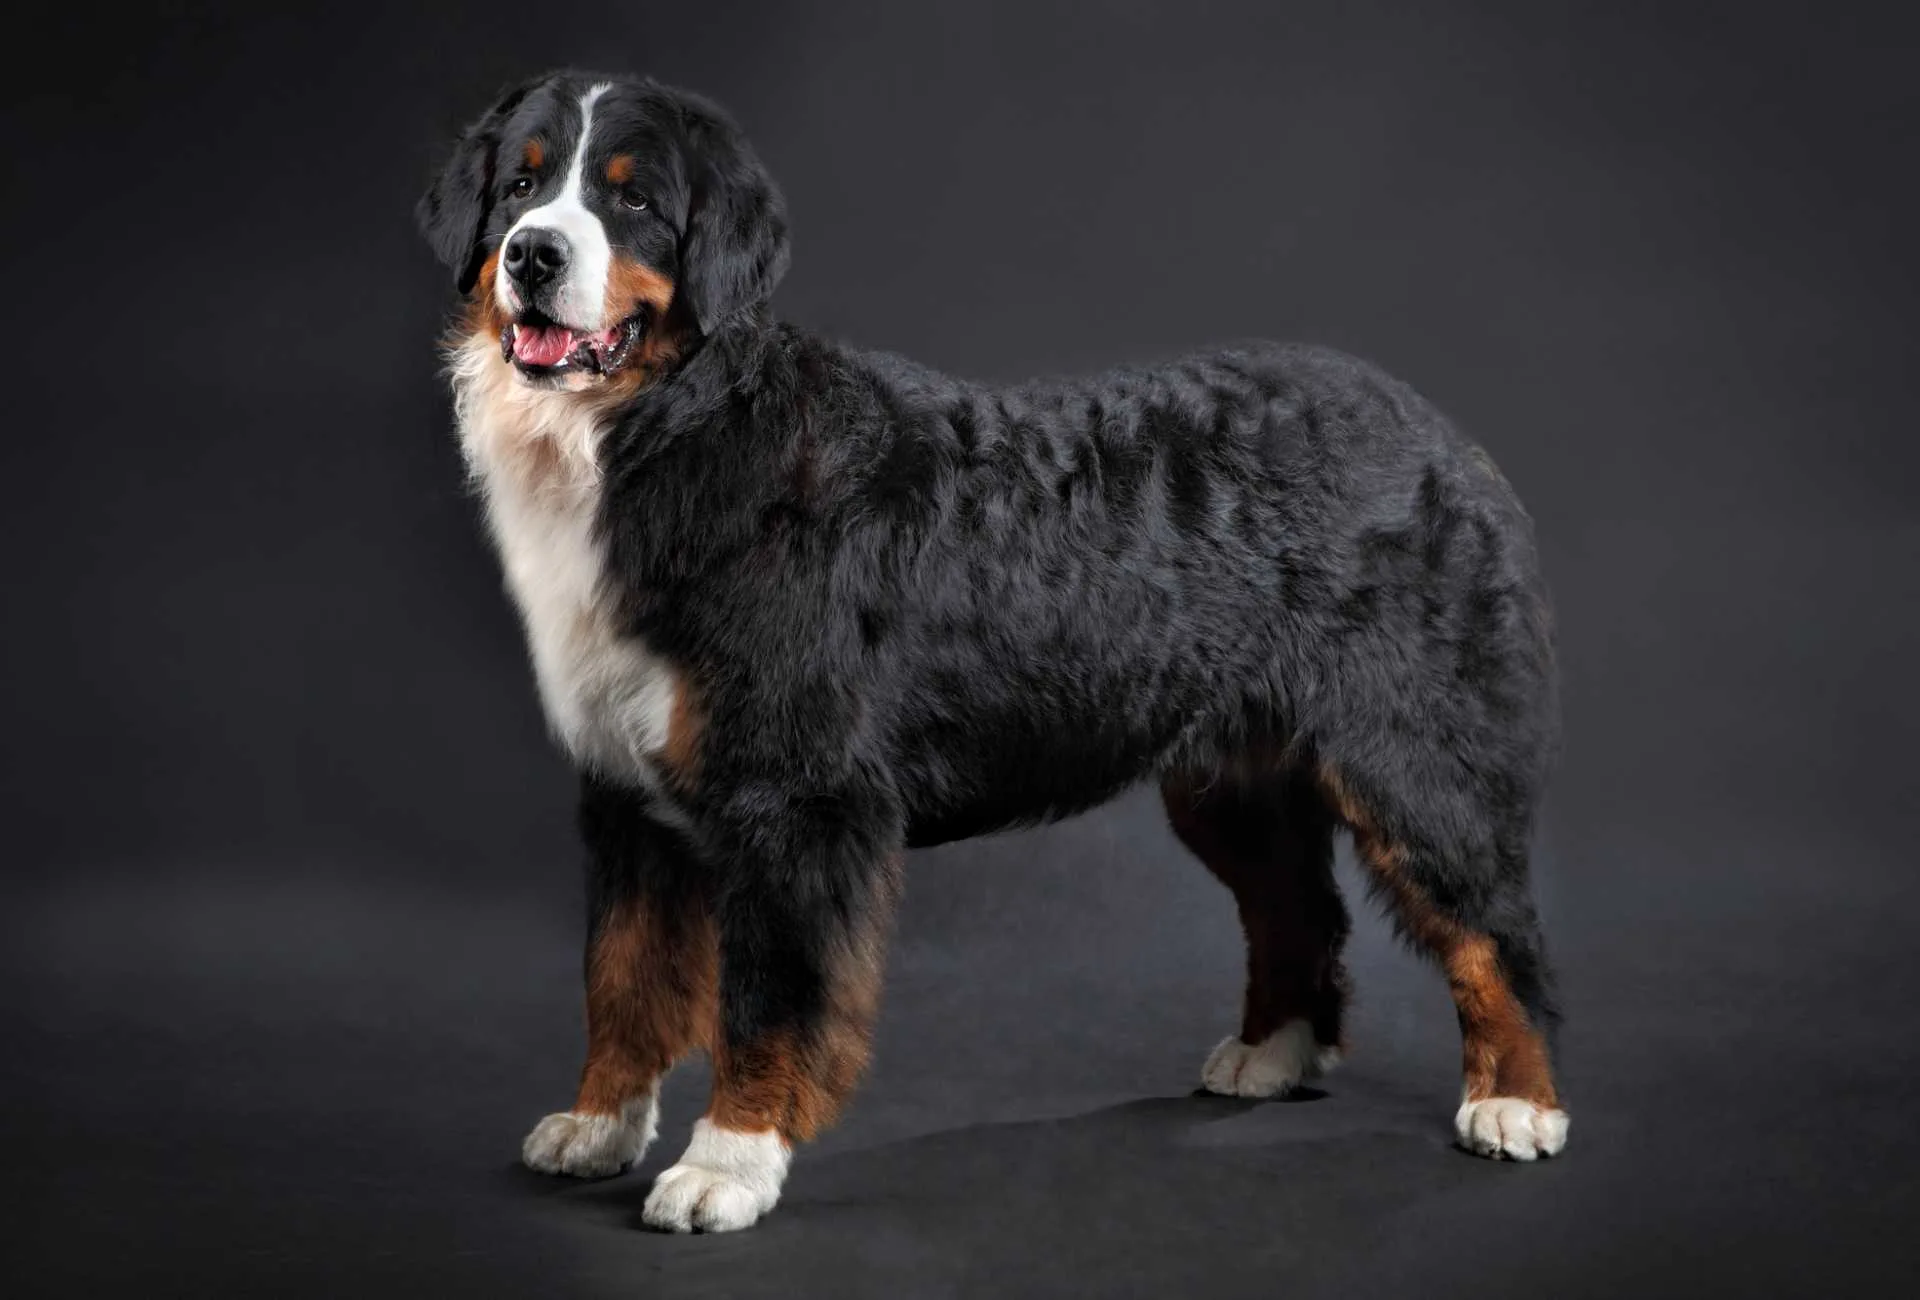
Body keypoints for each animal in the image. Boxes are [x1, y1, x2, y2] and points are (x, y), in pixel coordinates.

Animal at [416, 73, 1559, 1236]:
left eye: (635, 199)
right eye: (521, 185)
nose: (532, 256)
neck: (666, 434)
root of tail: (1430, 425)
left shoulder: (796, 797)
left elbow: (768, 999)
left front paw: (725, 1163)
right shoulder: (625, 791)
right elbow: (623, 976)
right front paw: (596, 1124)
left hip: (1413, 756)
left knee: (1493, 928)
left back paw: (1516, 1102)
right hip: (1231, 779)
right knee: (1297, 907)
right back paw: (1271, 1053)